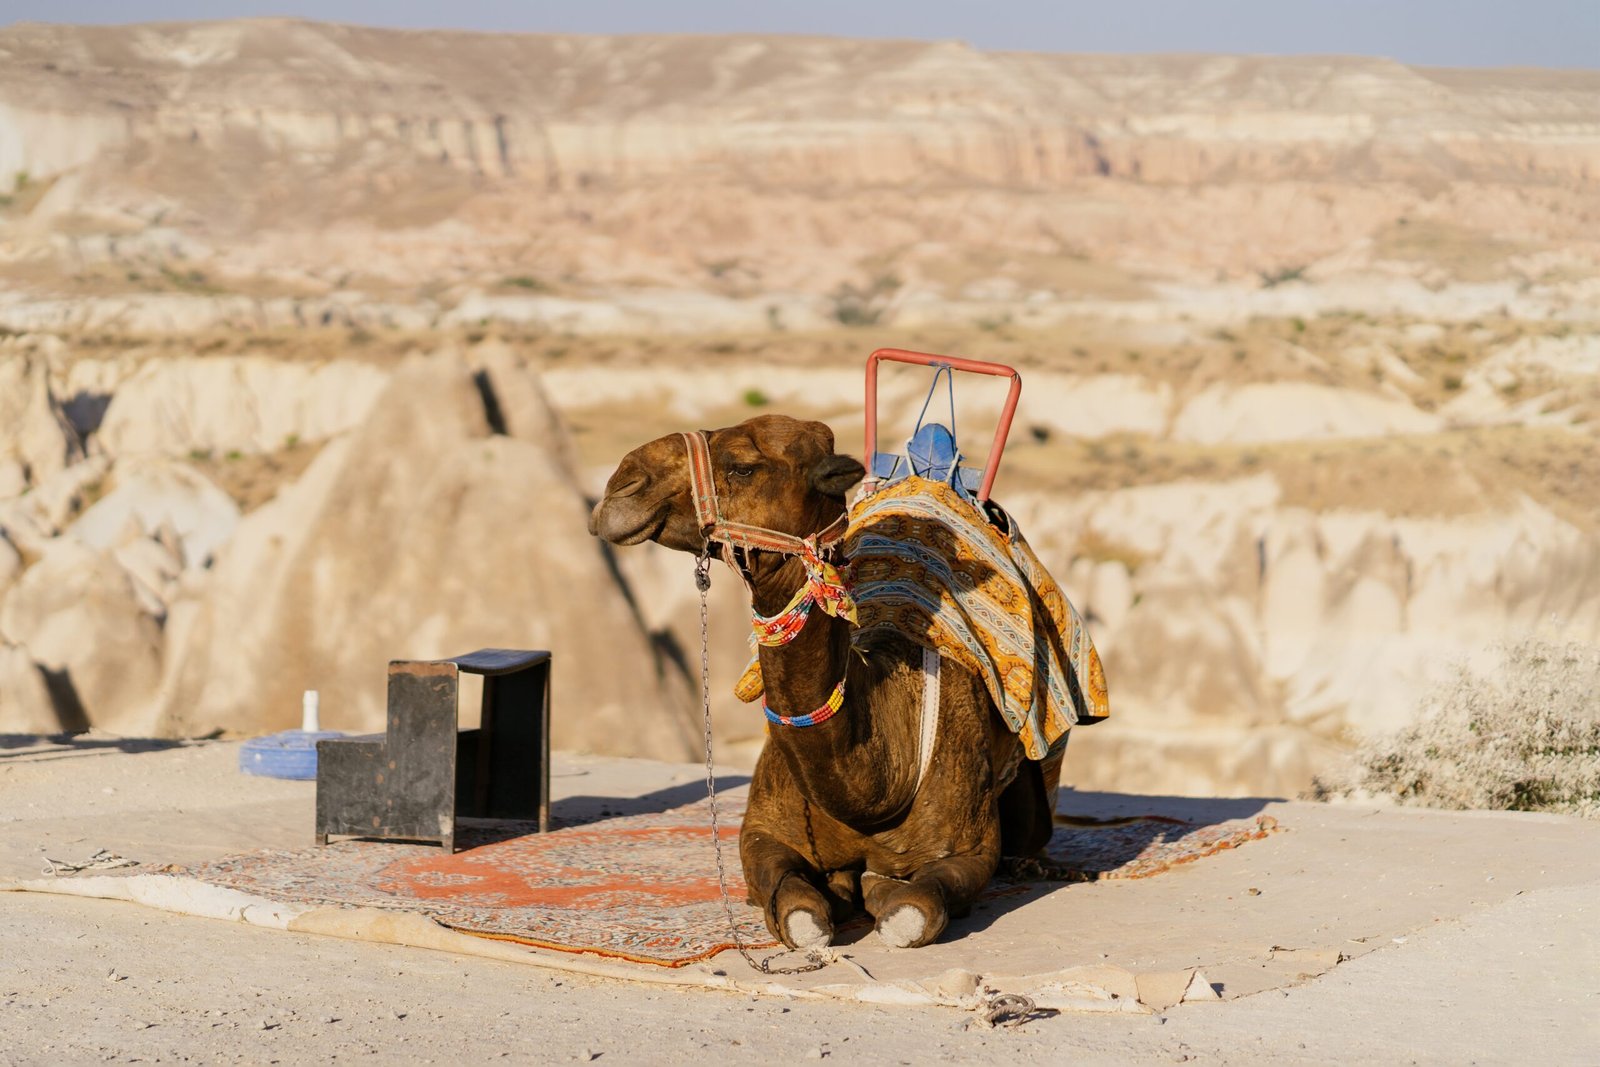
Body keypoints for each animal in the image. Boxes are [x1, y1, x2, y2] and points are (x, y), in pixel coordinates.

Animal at [585, 412, 1049, 947]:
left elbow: (912, 910)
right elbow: (799, 914)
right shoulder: (763, 833)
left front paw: (876, 887)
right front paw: (839, 890)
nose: (621, 486)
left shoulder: (970, 850)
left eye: (742, 466)